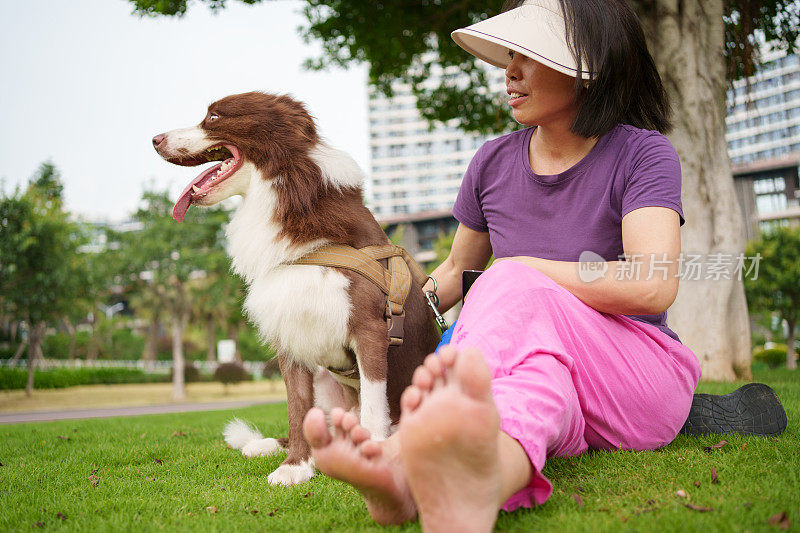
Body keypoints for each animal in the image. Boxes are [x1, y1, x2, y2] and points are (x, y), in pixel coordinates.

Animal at [150, 92, 438, 486]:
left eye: (214, 116)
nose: (155, 139)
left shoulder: (370, 328)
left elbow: (373, 406)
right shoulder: (290, 330)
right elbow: (297, 408)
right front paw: (295, 467)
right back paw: (264, 444)